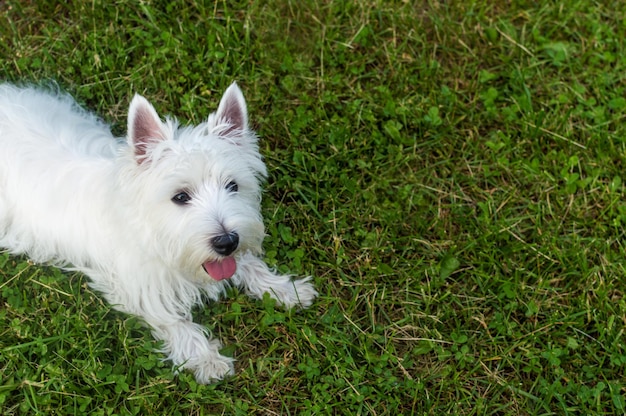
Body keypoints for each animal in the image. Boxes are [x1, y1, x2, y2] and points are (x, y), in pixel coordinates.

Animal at [0, 82, 314, 384]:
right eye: (180, 196)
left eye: (233, 186)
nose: (226, 242)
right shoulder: (138, 285)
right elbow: (173, 321)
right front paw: (206, 359)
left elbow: (248, 264)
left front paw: (286, 289)